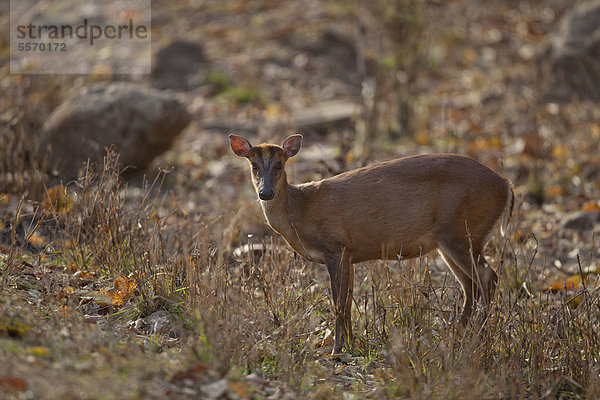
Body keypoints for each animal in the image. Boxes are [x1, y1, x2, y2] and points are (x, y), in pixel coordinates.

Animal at [229, 134, 510, 354]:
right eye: (254, 165)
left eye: (279, 164)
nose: (265, 193)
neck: (300, 210)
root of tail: (506, 186)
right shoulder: (350, 253)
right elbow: (348, 301)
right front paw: (351, 344)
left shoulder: (335, 247)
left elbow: (338, 302)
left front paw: (337, 349)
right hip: (451, 241)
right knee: (471, 286)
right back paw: (457, 334)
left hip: (462, 232)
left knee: (488, 278)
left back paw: (478, 336)